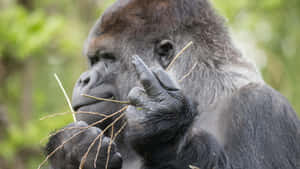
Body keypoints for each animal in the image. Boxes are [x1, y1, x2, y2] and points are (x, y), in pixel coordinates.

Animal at [45, 0, 300, 169]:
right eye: (93, 60)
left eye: (108, 58)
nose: (83, 79)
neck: (204, 92)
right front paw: (70, 150)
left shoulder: (262, 107)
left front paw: (161, 128)